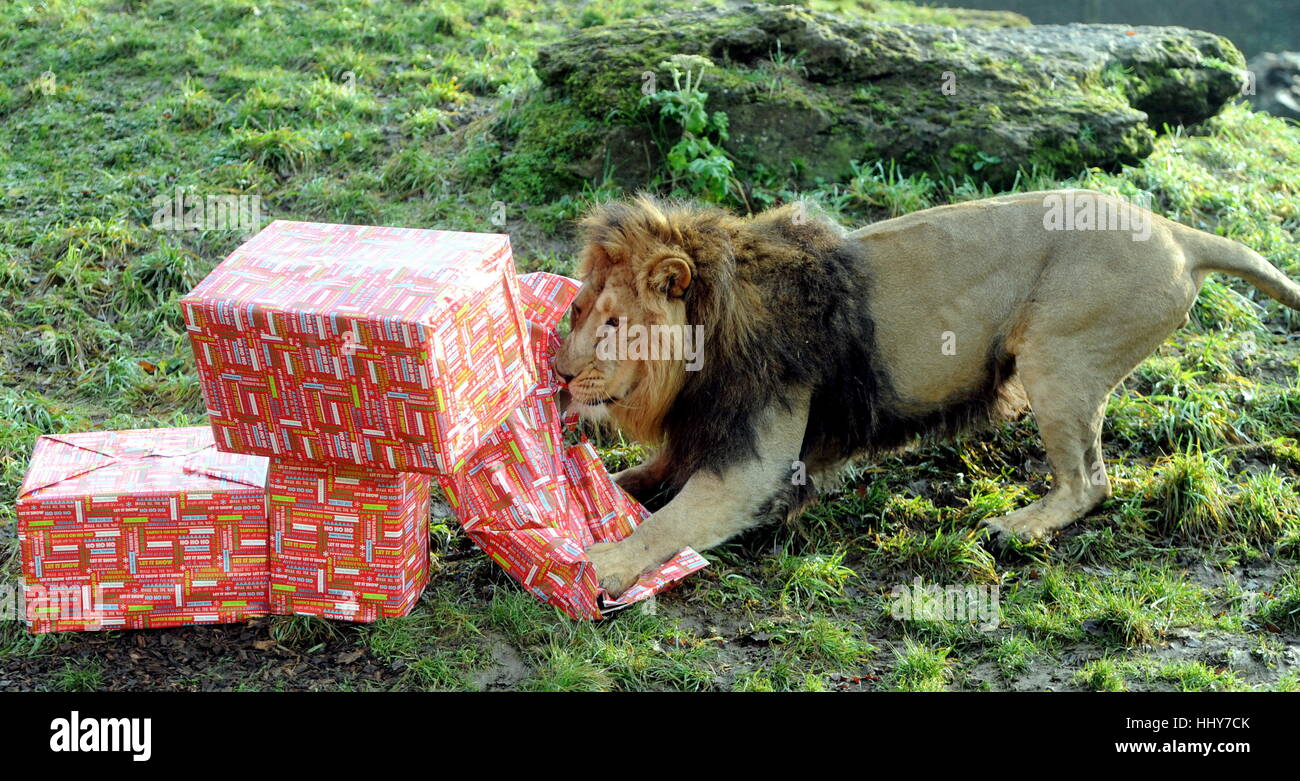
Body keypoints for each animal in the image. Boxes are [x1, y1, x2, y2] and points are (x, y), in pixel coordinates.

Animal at [553, 189, 1300, 597]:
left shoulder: (756, 458)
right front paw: (602, 491)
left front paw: (606, 562)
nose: (559, 373)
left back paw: (1016, 527)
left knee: (1090, 481)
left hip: (1060, 356)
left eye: (614, 325)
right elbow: (649, 477)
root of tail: (1176, 231)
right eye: (578, 310)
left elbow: (673, 519)